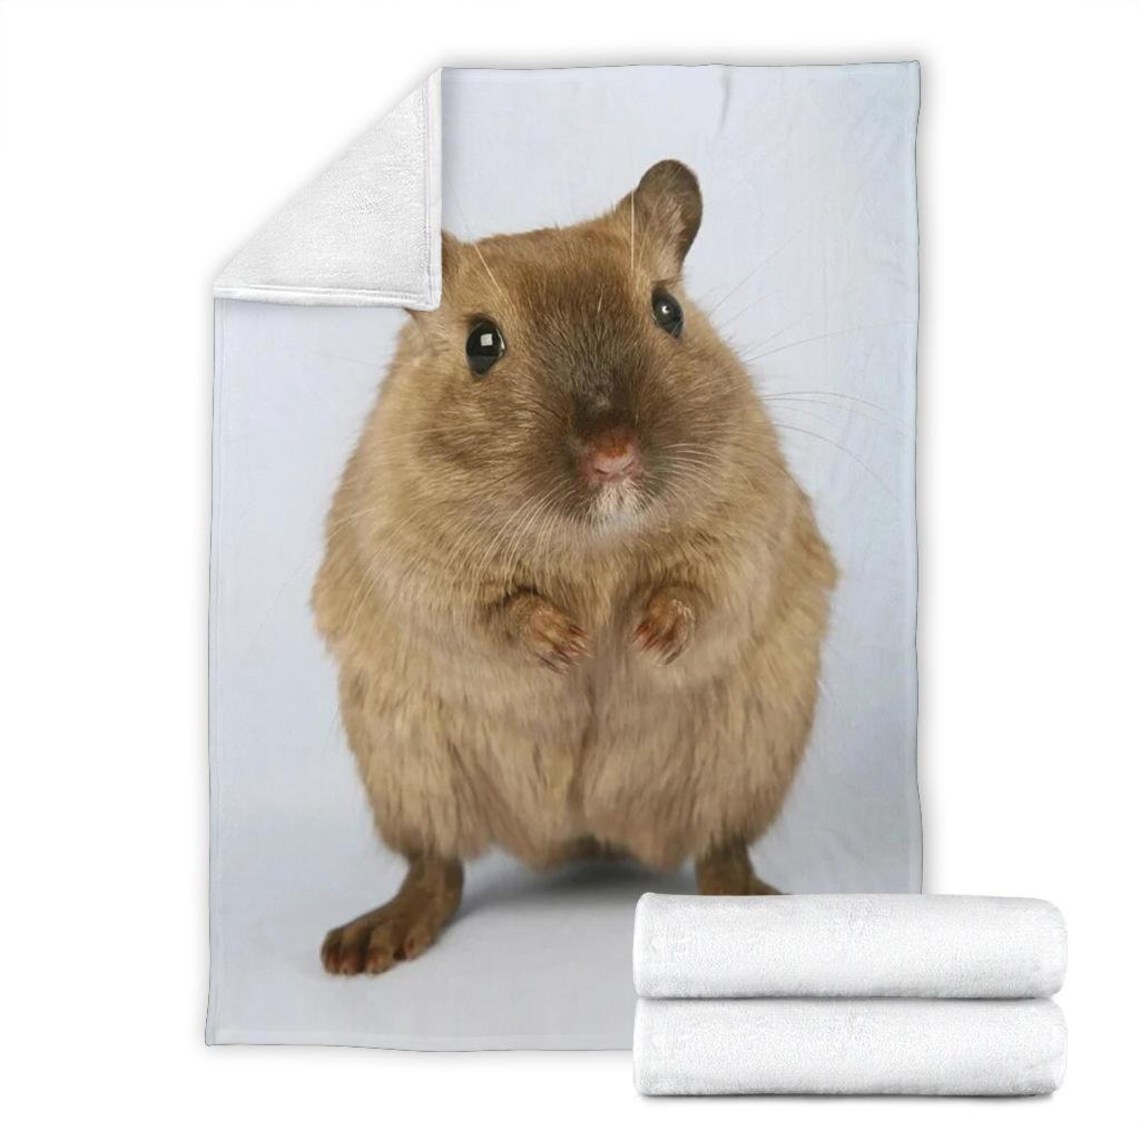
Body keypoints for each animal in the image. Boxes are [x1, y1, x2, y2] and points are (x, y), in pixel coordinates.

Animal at [314, 160, 836, 975]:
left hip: (746, 759)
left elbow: (706, 585)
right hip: (410, 769)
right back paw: (369, 943)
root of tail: (585, 830)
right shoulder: (406, 549)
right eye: (481, 343)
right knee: (437, 865)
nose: (614, 454)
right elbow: (484, 609)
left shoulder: (751, 518)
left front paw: (649, 634)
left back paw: (755, 912)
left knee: (721, 849)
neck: (591, 541)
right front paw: (565, 643)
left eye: (668, 310)